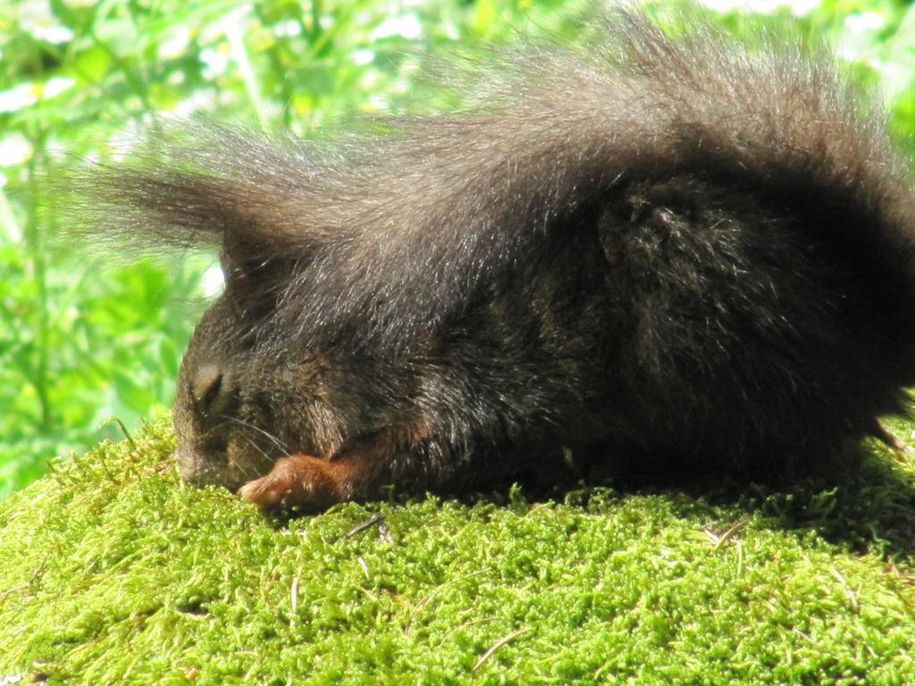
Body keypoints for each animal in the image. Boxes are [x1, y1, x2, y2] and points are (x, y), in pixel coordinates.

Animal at [77, 6, 915, 510]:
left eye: (212, 391)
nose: (191, 474)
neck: (351, 344)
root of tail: (872, 336)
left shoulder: (466, 387)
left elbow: (408, 458)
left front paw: (294, 481)